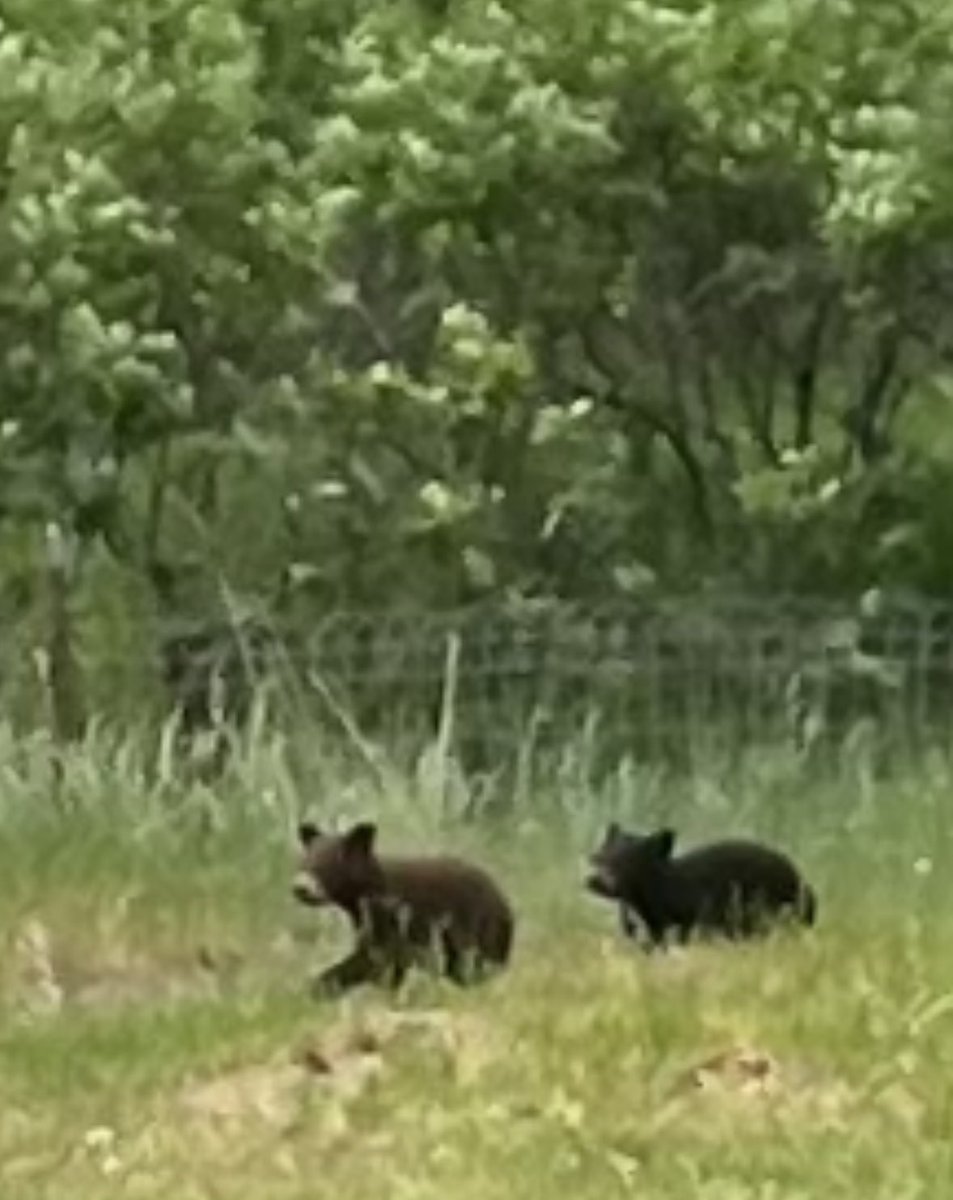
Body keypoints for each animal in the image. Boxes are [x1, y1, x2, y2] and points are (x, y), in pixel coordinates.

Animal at [292, 819, 515, 995]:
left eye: (328, 864)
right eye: (304, 861)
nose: (301, 888)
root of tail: (505, 902)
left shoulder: (395, 918)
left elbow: (377, 958)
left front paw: (319, 987)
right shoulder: (370, 920)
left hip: (479, 927)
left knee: (473, 963)